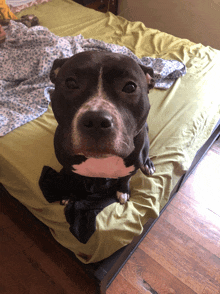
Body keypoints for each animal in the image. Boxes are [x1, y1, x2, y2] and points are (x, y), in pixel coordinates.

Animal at [49, 51, 156, 204]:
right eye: (71, 83)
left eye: (130, 87)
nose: (96, 121)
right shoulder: (69, 167)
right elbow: (72, 179)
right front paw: (69, 194)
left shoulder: (132, 167)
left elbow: (125, 178)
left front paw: (123, 191)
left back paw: (148, 164)